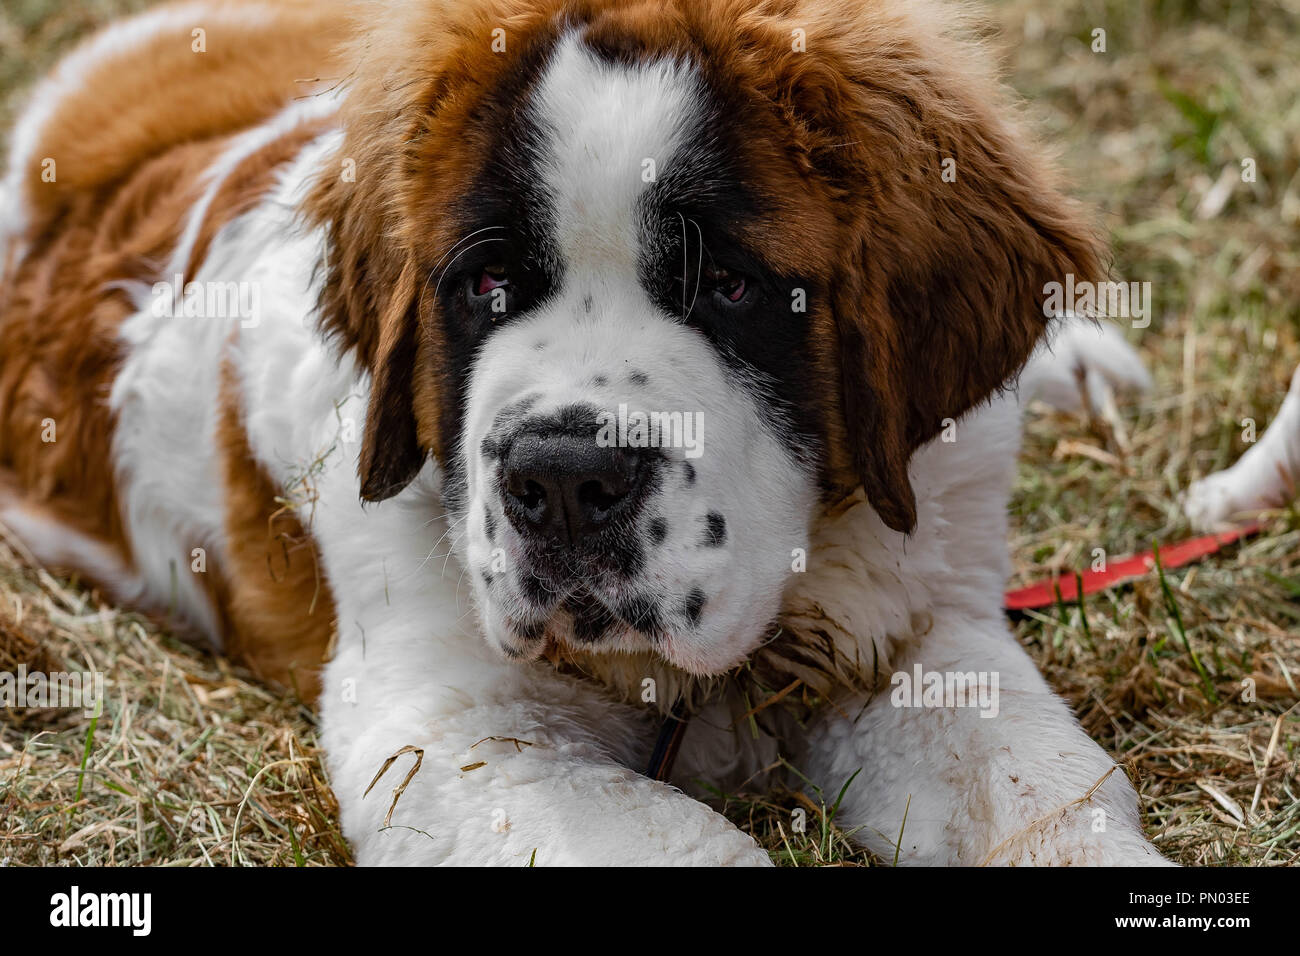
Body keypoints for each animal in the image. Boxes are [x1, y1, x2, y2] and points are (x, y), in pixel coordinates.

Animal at [0, 0, 1175, 868]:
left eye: (730, 284)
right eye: (484, 283)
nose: (563, 481)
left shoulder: (923, 630)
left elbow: (1050, 791)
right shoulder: (455, 730)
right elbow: (692, 842)